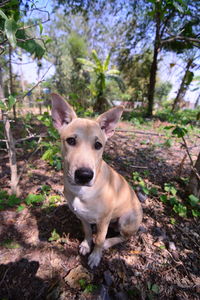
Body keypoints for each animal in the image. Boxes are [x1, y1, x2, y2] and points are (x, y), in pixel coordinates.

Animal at [51, 93, 142, 268]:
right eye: (71, 140)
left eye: (98, 145)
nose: (84, 175)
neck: (82, 192)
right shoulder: (82, 216)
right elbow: (87, 231)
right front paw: (87, 245)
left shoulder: (103, 220)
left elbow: (99, 239)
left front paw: (95, 255)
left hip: (126, 219)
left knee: (125, 237)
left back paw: (108, 242)